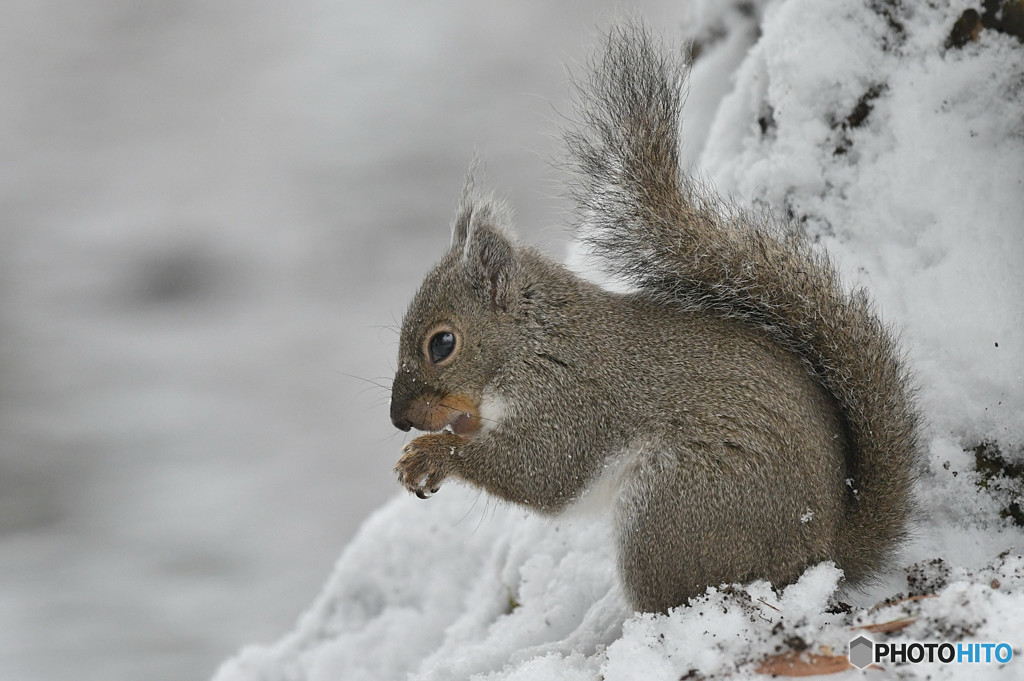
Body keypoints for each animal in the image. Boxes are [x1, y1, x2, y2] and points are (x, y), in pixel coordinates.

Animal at [385, 25, 921, 610]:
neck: (533, 342)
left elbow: (540, 472)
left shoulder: (570, 400)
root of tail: (822, 552)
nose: (398, 418)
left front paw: (432, 455)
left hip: (672, 507)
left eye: (442, 344)